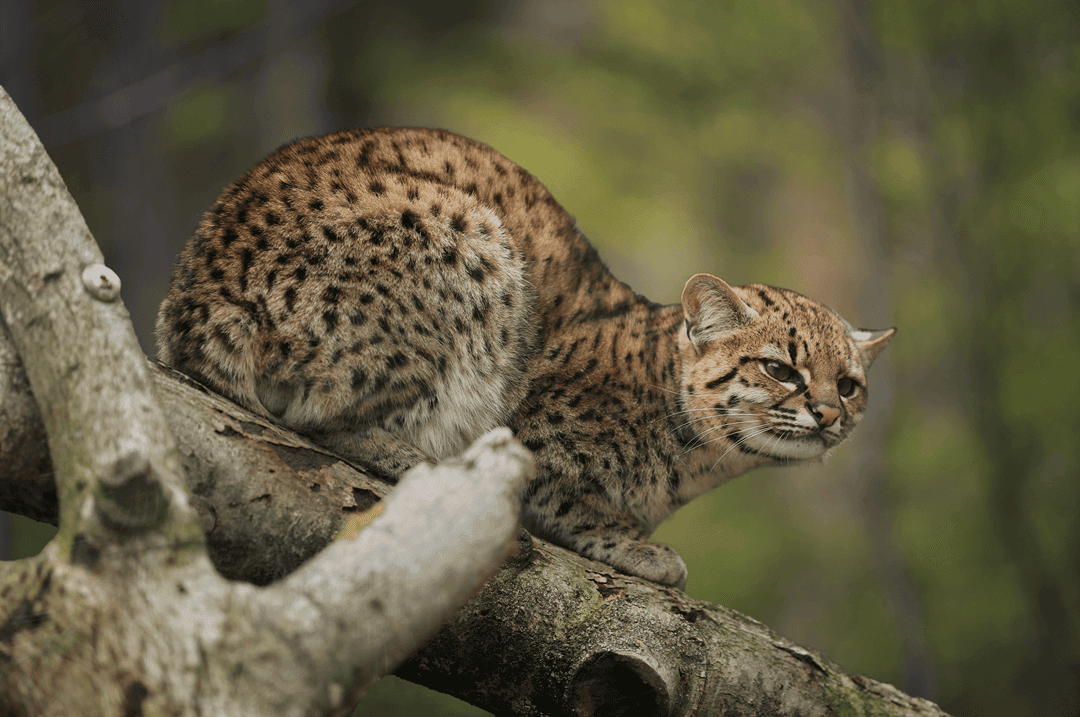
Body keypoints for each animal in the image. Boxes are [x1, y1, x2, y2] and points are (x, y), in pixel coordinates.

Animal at [154, 127, 894, 587]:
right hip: (470, 245)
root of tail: (194, 295)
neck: (700, 464)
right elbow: (569, 497)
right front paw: (639, 545)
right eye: (780, 369)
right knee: (319, 418)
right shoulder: (530, 432)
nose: (829, 415)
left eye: (849, 385)